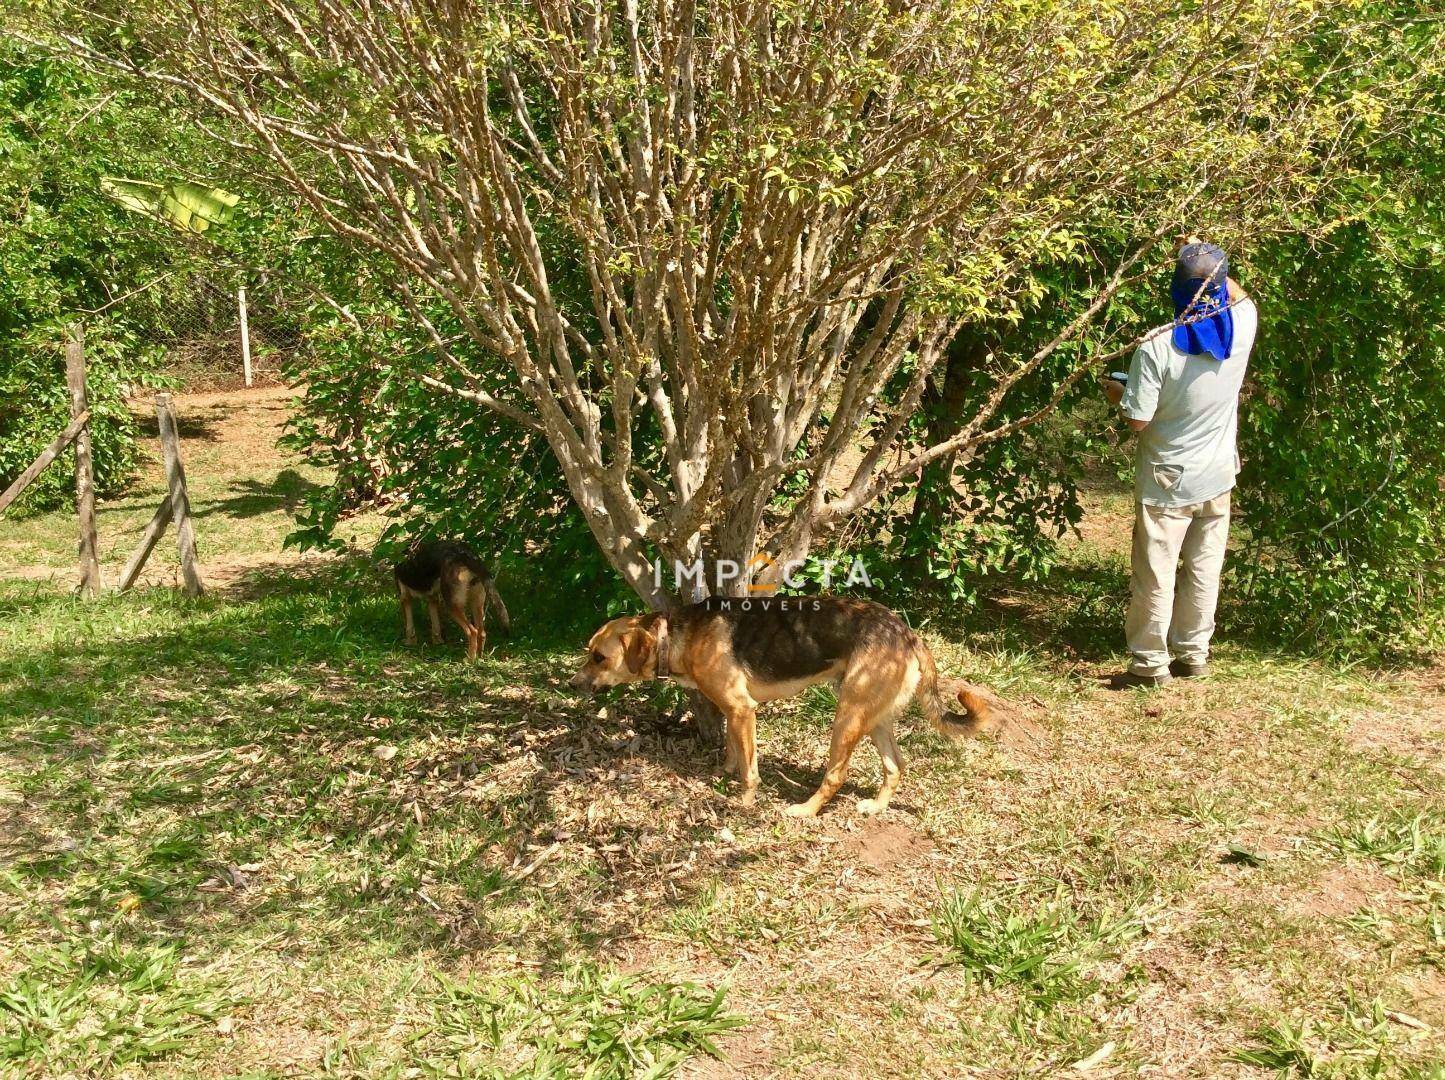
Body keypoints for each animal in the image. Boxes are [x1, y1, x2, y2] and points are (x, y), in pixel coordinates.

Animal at [569, 595, 999, 815]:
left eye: (599, 658)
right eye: (589, 652)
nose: (573, 685)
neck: (674, 635)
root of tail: (910, 635)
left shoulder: (742, 710)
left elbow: (750, 770)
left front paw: (743, 801)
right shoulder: (733, 712)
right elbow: (732, 751)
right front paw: (724, 773)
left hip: (847, 717)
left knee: (836, 775)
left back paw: (805, 811)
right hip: (875, 718)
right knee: (896, 766)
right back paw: (875, 808)